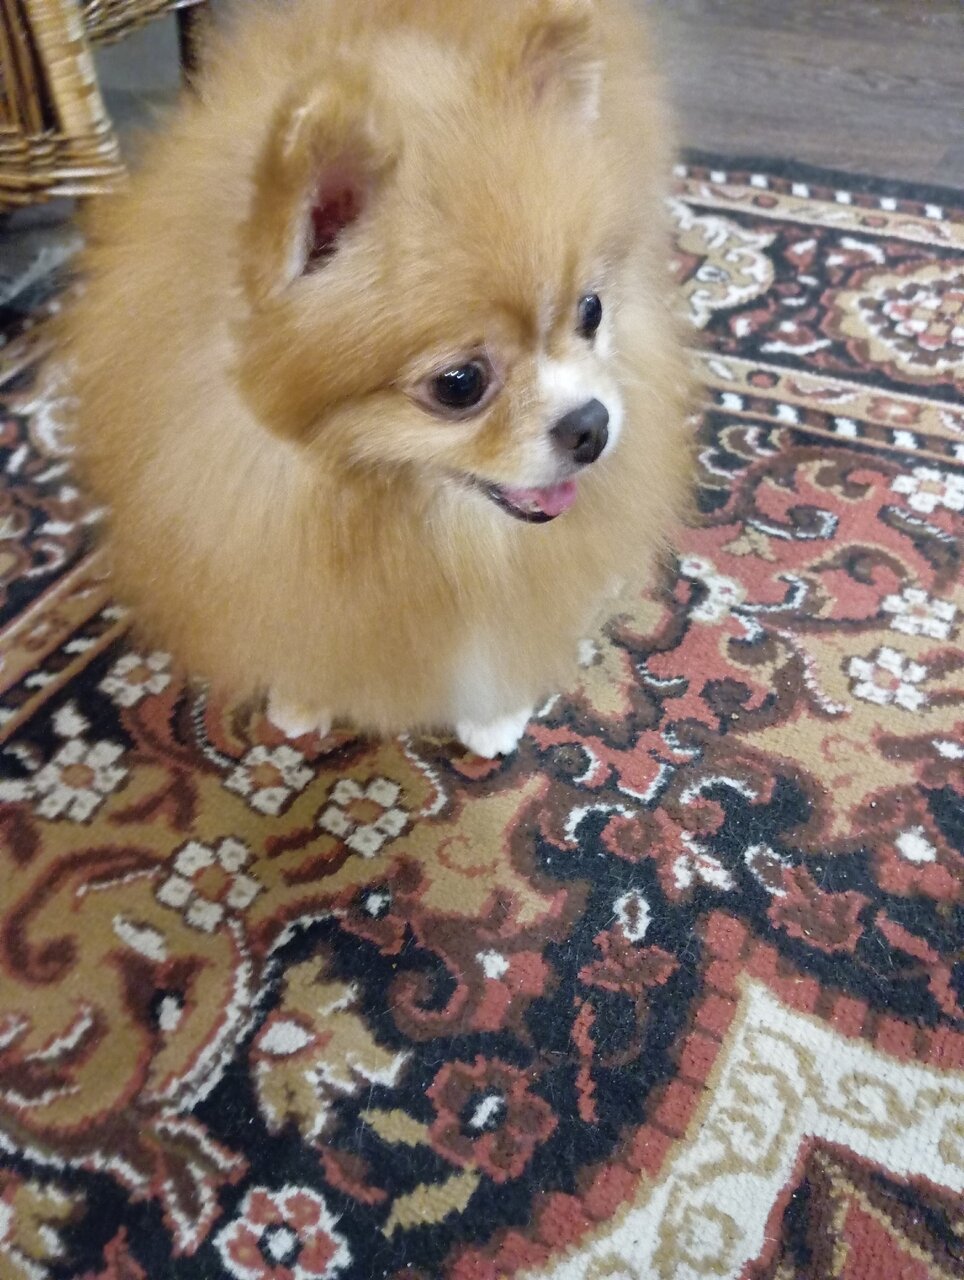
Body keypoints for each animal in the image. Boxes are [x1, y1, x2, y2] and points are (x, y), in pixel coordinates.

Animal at [60, 0, 690, 758]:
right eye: (459, 384)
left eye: (591, 311)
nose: (592, 424)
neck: (382, 512)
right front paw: (304, 693)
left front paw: (495, 708)